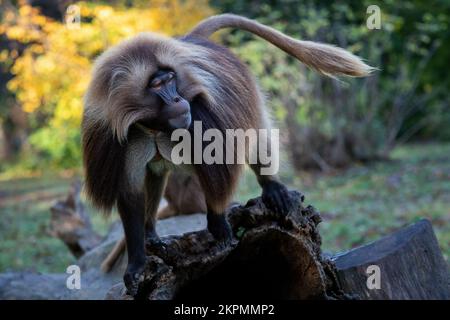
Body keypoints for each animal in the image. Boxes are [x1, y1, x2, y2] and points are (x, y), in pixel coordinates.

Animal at [81, 14, 372, 296]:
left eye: (170, 80)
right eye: (157, 85)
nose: (177, 100)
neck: (157, 126)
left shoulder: (199, 116)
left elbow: (217, 166)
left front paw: (219, 224)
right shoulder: (130, 138)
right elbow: (131, 192)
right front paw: (136, 263)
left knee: (256, 134)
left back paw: (272, 187)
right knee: (155, 173)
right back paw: (150, 232)